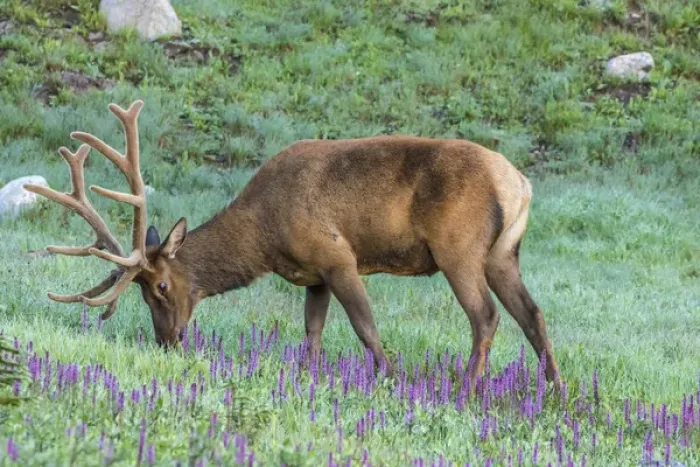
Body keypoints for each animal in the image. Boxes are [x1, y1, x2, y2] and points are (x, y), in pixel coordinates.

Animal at [25, 99, 561, 389]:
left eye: (159, 286)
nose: (167, 340)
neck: (265, 235)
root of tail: (520, 183)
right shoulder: (313, 276)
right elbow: (312, 335)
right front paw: (309, 380)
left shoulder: (337, 256)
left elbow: (366, 328)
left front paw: (388, 379)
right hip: (502, 254)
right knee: (532, 315)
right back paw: (554, 390)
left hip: (459, 247)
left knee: (486, 316)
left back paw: (468, 390)